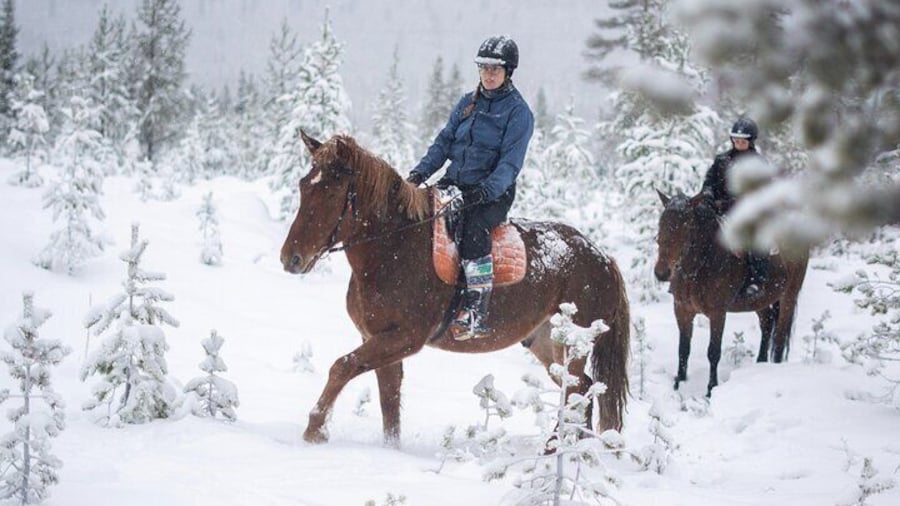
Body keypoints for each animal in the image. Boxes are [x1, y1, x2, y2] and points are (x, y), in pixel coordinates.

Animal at [279, 131, 631, 446]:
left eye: (332, 191)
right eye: (303, 185)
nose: (290, 258)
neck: (395, 247)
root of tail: (603, 258)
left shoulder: (405, 338)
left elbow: (342, 367)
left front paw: (315, 430)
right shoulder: (377, 339)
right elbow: (389, 404)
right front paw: (389, 450)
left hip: (573, 341)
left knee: (578, 389)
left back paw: (558, 449)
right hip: (546, 342)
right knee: (580, 387)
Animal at [654, 190, 809, 397]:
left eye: (685, 226)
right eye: (661, 223)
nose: (661, 272)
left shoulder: (718, 313)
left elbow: (713, 352)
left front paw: (711, 389)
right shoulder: (682, 310)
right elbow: (683, 349)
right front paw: (679, 383)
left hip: (789, 296)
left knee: (779, 338)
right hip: (760, 300)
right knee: (767, 324)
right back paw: (760, 363)